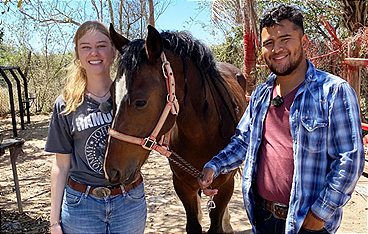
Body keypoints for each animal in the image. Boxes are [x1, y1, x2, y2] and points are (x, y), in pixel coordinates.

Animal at [104, 24, 247, 233]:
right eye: (111, 96)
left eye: (141, 102)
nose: (112, 171)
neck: (202, 136)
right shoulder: (182, 185)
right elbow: (193, 224)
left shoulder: (225, 186)